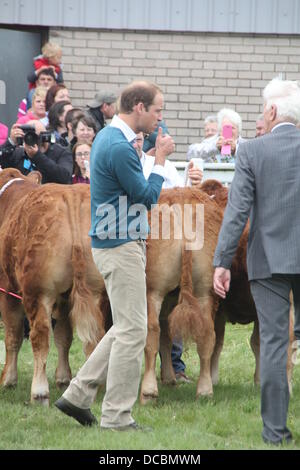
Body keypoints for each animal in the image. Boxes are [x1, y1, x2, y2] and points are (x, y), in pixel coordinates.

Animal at [0, 169, 105, 404]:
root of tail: (70, 194)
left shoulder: (7, 291)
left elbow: (12, 336)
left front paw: (8, 380)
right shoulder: (64, 298)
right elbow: (64, 337)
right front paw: (63, 378)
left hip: (38, 292)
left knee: (40, 336)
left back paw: (39, 392)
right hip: (93, 291)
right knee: (93, 338)